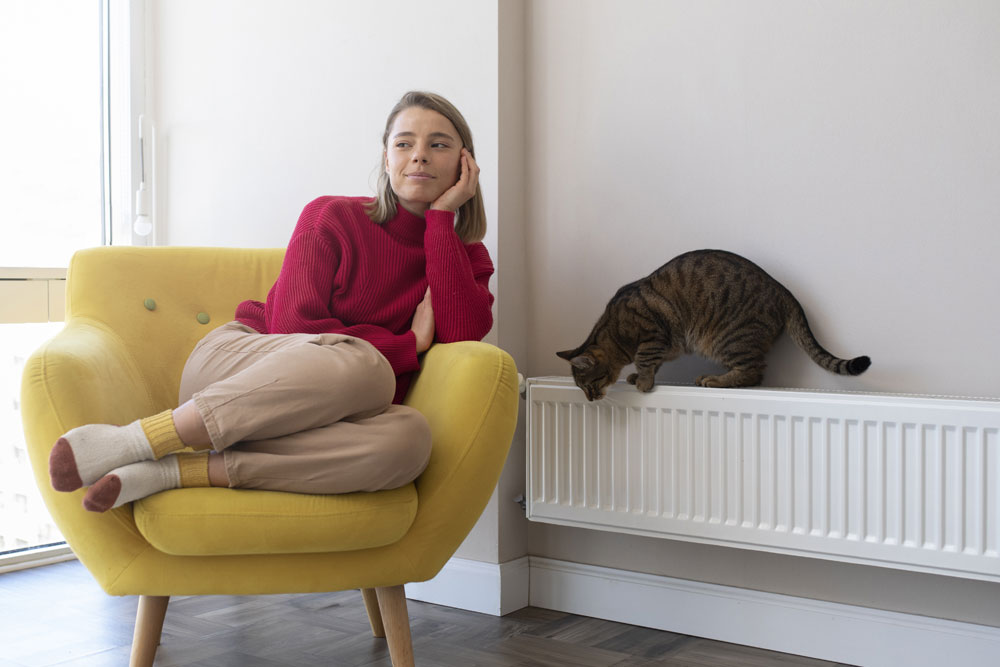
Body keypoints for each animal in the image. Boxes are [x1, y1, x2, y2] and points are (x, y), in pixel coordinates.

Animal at [560, 248, 872, 400]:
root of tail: (783, 290)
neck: (613, 331)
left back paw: (714, 380)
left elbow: (645, 359)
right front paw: (638, 377)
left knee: (753, 373)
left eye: (589, 384)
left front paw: (643, 382)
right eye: (581, 388)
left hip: (726, 339)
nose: (590, 400)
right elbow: (652, 363)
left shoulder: (652, 335)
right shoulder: (664, 344)